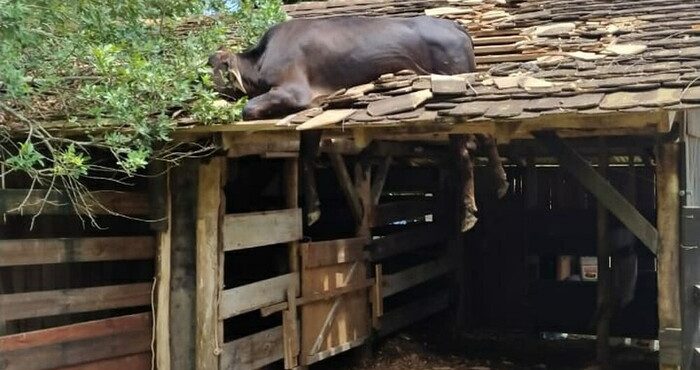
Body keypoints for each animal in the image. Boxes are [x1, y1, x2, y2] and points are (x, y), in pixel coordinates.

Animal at [211, 17, 506, 230]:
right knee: (487, 137)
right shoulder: (314, 108)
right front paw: (314, 210)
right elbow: (307, 157)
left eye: (212, 71)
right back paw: (501, 183)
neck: (260, 61)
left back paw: (468, 214)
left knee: (464, 151)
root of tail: (454, 25)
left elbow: (249, 109)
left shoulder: (295, 92)